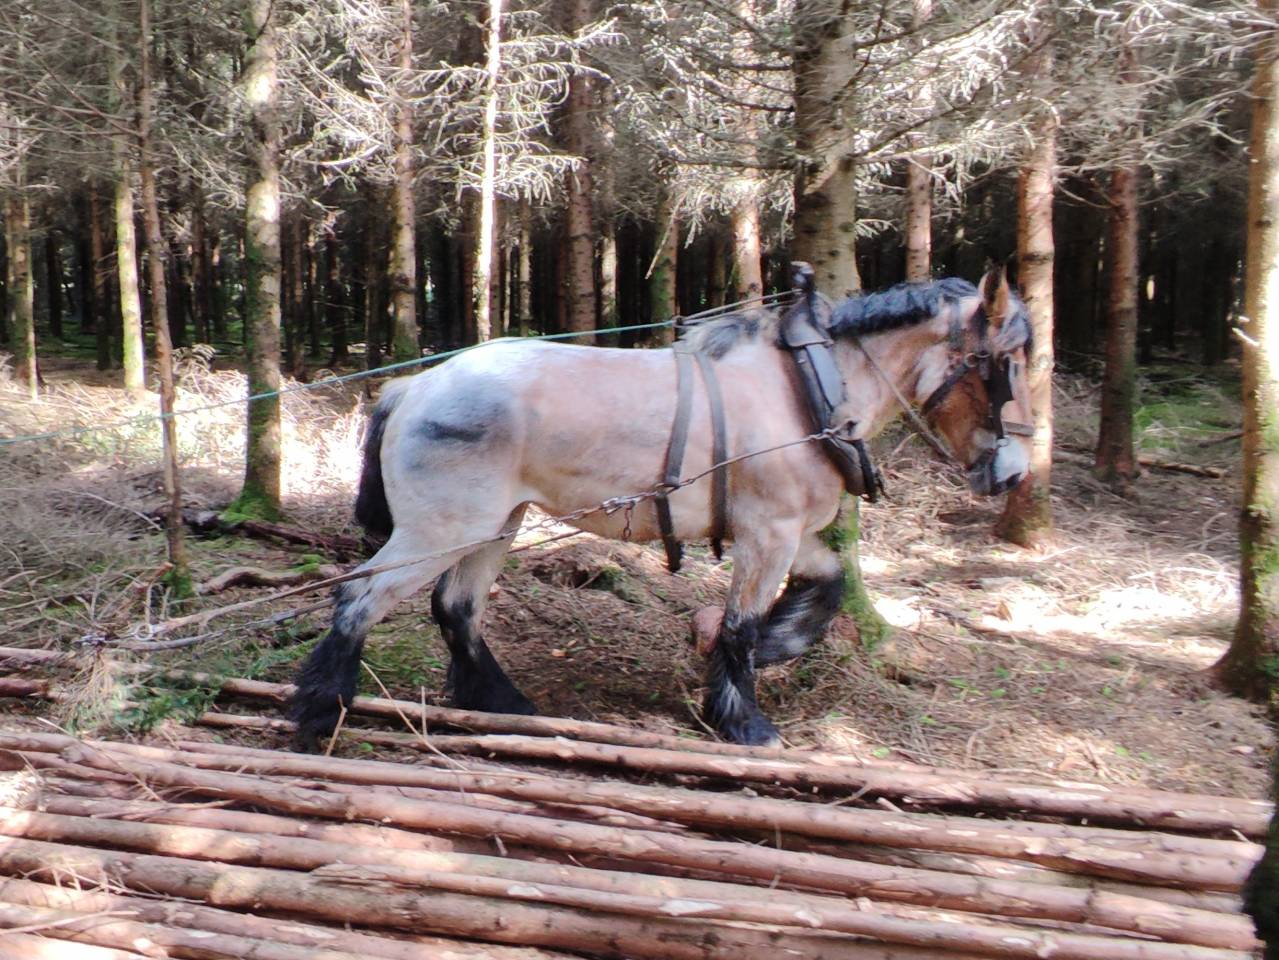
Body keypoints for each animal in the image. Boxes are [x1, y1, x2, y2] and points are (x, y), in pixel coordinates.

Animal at [290, 266, 1034, 748]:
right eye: (1007, 363)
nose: (1014, 473)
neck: (808, 390)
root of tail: (412, 388)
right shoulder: (768, 533)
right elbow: (739, 624)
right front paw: (743, 719)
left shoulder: (787, 531)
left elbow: (825, 585)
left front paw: (777, 647)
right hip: (442, 526)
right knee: (358, 599)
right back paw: (319, 713)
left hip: (495, 524)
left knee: (456, 608)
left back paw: (504, 704)